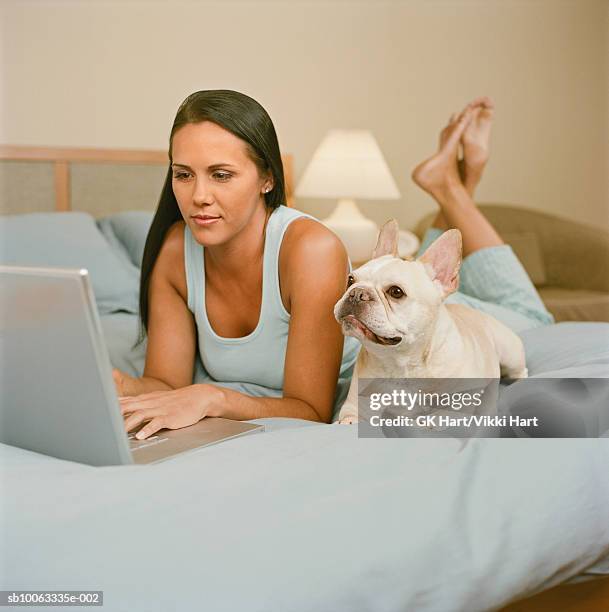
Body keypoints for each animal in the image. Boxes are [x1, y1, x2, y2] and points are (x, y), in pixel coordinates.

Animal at [334, 220, 524, 426]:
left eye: (396, 292)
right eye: (350, 280)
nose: (356, 293)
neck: (402, 364)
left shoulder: (458, 408)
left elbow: (434, 418)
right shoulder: (355, 407)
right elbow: (351, 419)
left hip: (510, 353)